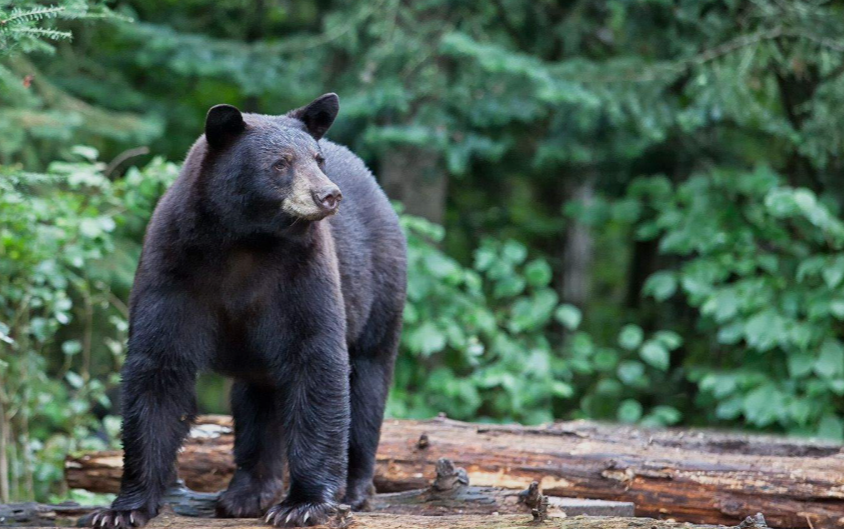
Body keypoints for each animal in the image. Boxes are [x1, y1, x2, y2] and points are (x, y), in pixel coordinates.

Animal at [89, 93, 407, 528]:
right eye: (280, 163)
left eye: (317, 158)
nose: (328, 195)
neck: (245, 241)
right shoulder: (172, 268)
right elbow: (158, 367)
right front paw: (124, 508)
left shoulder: (302, 273)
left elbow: (317, 360)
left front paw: (303, 504)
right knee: (257, 401)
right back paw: (247, 492)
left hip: (380, 288)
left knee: (368, 382)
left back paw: (355, 490)